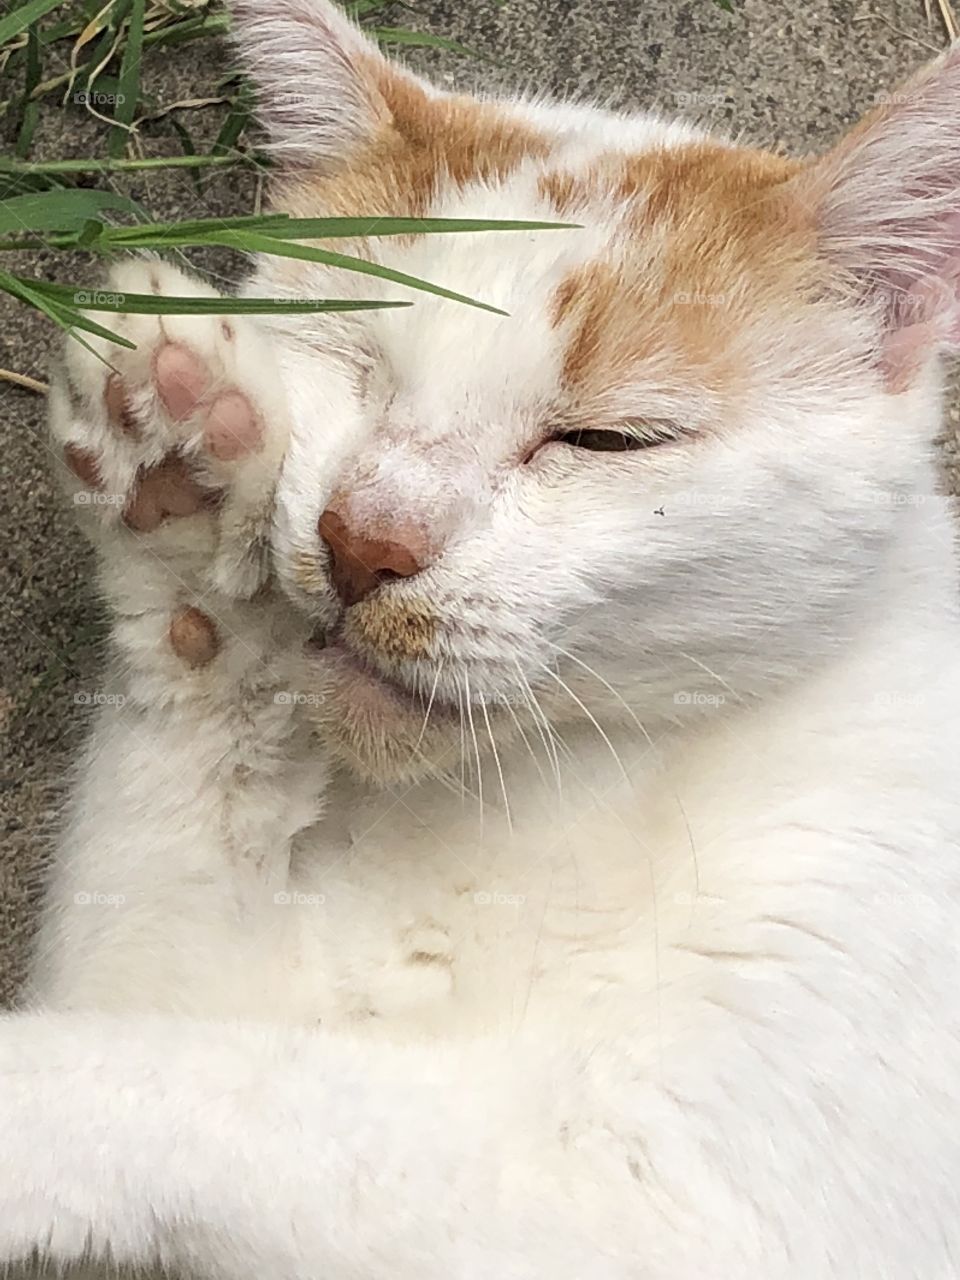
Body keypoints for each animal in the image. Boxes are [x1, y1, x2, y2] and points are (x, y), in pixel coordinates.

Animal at [1, 5, 960, 1274]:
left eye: (608, 438)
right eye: (355, 357)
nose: (363, 539)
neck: (544, 794)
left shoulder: (681, 1212)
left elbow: (253, 1094)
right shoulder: (156, 962)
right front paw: (187, 481)